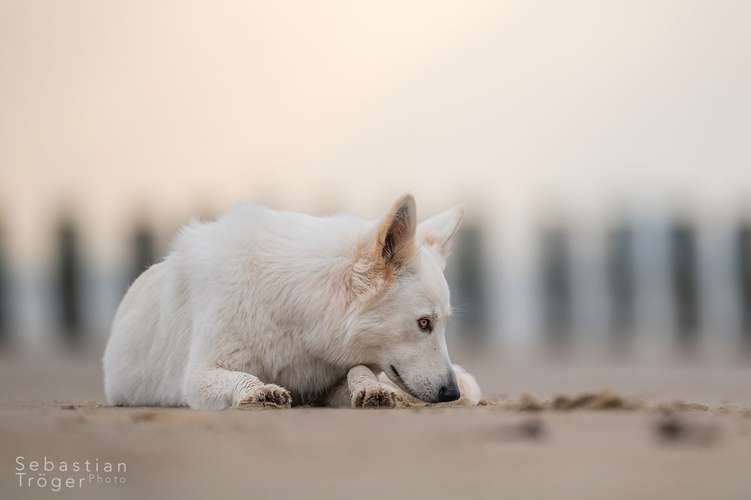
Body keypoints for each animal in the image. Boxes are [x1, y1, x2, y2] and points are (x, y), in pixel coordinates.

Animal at [101, 195, 482, 410]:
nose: (450, 393)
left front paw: (371, 389)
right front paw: (259, 393)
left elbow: (358, 371)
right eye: (424, 324)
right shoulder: (198, 376)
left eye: (441, 325)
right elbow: (243, 378)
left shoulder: (327, 382)